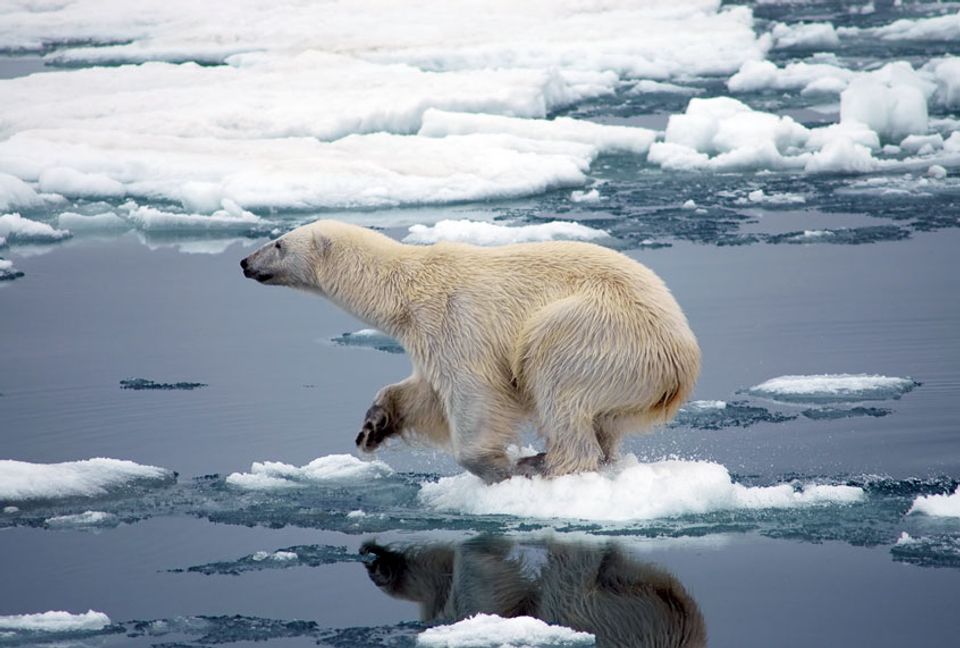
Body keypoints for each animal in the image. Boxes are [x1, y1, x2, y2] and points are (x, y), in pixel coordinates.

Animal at [242, 221, 696, 480]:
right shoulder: (426, 335)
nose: (245, 262)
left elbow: (474, 393)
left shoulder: (456, 320)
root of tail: (682, 361)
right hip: (632, 381)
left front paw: (497, 466)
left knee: (555, 375)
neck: (406, 287)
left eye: (279, 243)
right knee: (604, 421)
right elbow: (424, 393)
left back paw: (544, 463)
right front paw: (373, 426)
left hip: (602, 331)